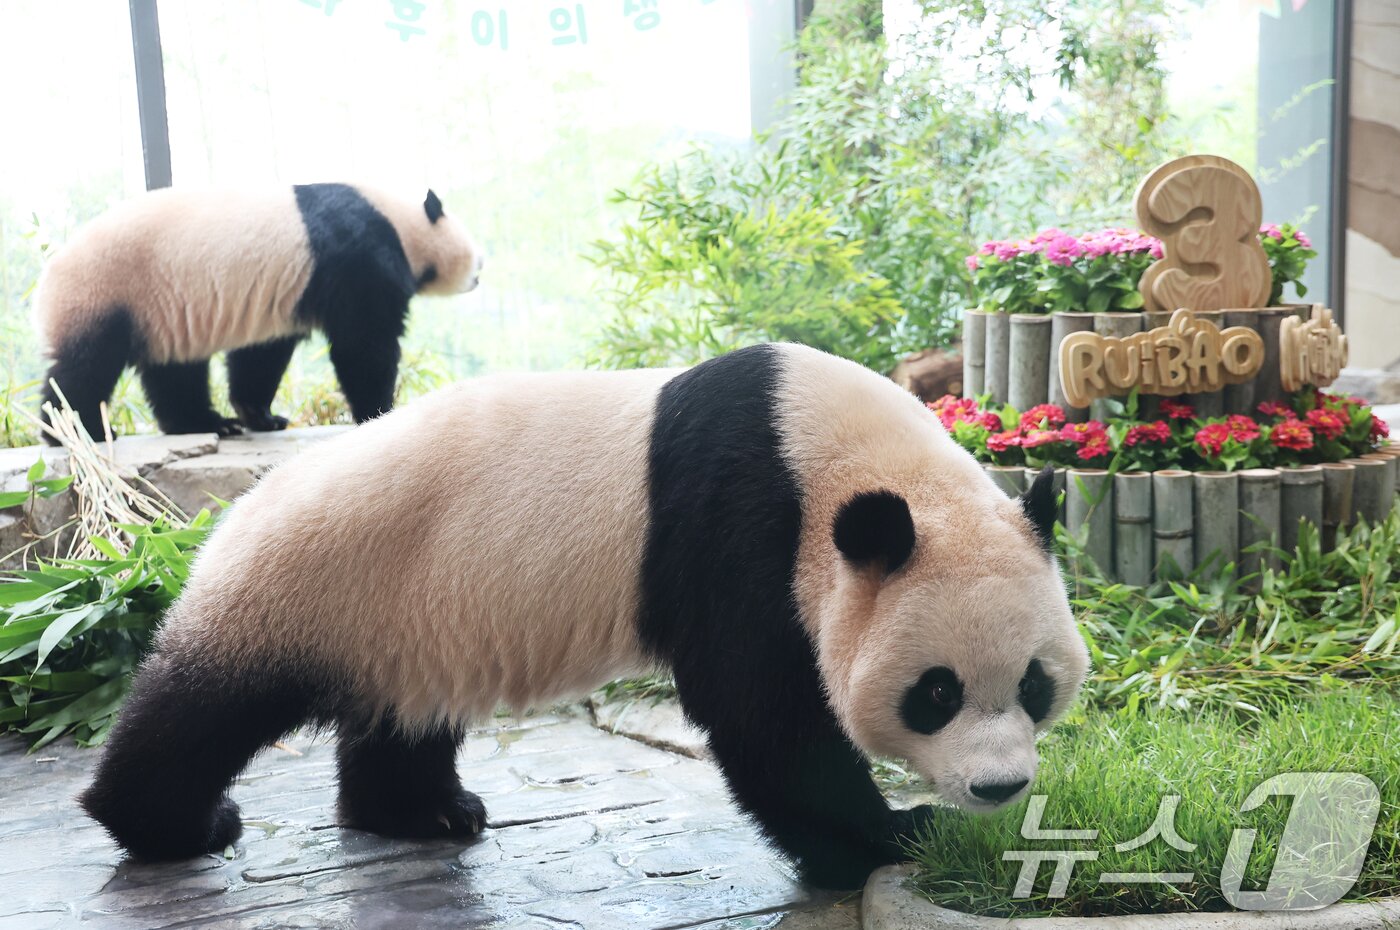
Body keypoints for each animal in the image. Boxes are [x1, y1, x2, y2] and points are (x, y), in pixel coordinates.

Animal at [33, 183, 482, 441]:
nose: (481, 269)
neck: (398, 219)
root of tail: (48, 275)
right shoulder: (357, 253)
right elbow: (364, 344)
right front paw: (380, 413)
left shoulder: (283, 298)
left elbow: (261, 355)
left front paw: (260, 416)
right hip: (107, 289)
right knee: (85, 368)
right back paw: (75, 430)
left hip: (161, 308)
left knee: (175, 371)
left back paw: (206, 422)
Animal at [79, 343, 1088, 890]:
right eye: (936, 693)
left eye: (1035, 686)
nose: (998, 788)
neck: (829, 452)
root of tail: (235, 507)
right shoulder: (738, 523)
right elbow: (762, 712)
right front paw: (891, 836)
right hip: (310, 582)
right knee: (207, 706)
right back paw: (177, 825)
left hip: (407, 617)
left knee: (402, 714)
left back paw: (424, 813)